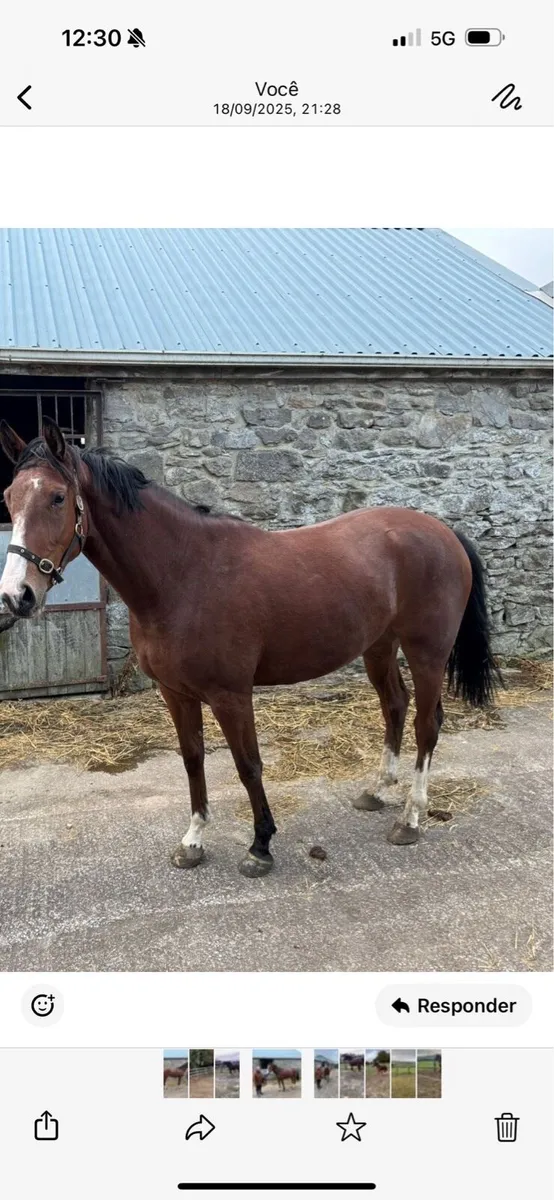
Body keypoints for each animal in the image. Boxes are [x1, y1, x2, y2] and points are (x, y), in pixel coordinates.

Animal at [0, 418, 501, 878]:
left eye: (57, 497)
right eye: (8, 497)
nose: (15, 596)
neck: (183, 573)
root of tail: (442, 531)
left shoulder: (231, 696)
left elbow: (248, 765)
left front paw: (260, 846)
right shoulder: (175, 694)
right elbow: (193, 760)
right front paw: (193, 840)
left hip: (427, 652)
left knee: (426, 724)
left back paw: (411, 818)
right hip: (378, 646)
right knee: (395, 706)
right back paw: (377, 792)